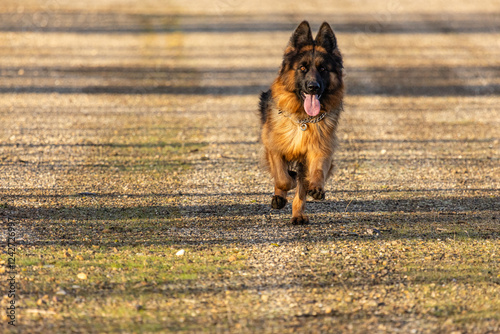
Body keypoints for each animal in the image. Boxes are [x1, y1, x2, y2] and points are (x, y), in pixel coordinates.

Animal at [258, 20, 344, 224]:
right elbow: (282, 178)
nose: (313, 87)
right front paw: (284, 186)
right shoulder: (274, 147)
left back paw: (298, 214)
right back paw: (279, 197)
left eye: (323, 69)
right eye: (302, 68)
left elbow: (315, 173)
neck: (303, 119)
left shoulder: (320, 149)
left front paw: (316, 188)